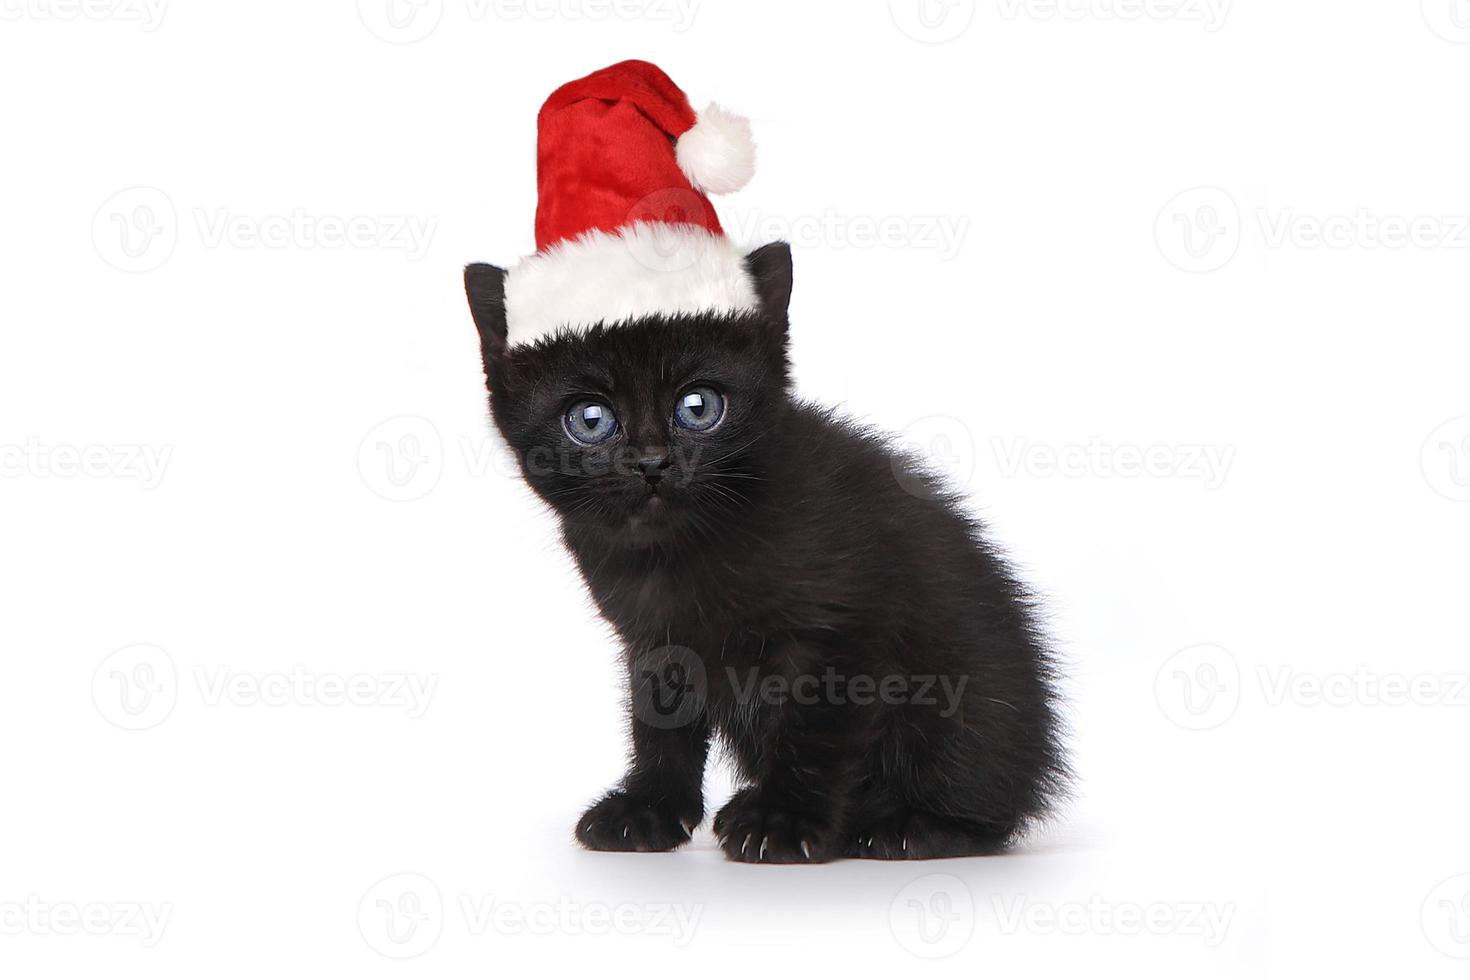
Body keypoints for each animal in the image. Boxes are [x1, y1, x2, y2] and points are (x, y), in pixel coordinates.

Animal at [464, 240, 1064, 863]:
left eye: (698, 407)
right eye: (591, 419)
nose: (652, 462)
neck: (679, 553)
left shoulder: (840, 631)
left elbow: (813, 732)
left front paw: (784, 819)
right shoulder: (654, 640)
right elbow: (659, 726)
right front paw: (648, 809)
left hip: (965, 703)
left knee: (982, 803)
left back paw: (908, 825)